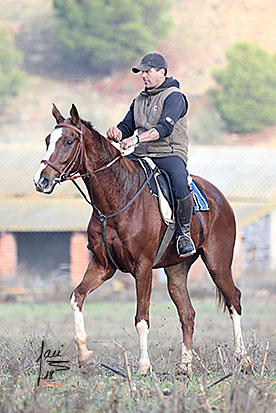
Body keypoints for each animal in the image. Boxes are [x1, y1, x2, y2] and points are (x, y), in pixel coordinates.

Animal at [33, 104, 249, 374]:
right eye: (47, 140)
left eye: (69, 141)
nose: (41, 180)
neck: (118, 198)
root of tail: (220, 198)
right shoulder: (103, 266)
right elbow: (77, 297)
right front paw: (85, 356)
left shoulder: (143, 267)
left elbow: (141, 318)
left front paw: (144, 366)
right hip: (176, 272)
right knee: (187, 314)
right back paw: (185, 366)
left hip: (218, 264)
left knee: (234, 300)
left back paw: (243, 359)